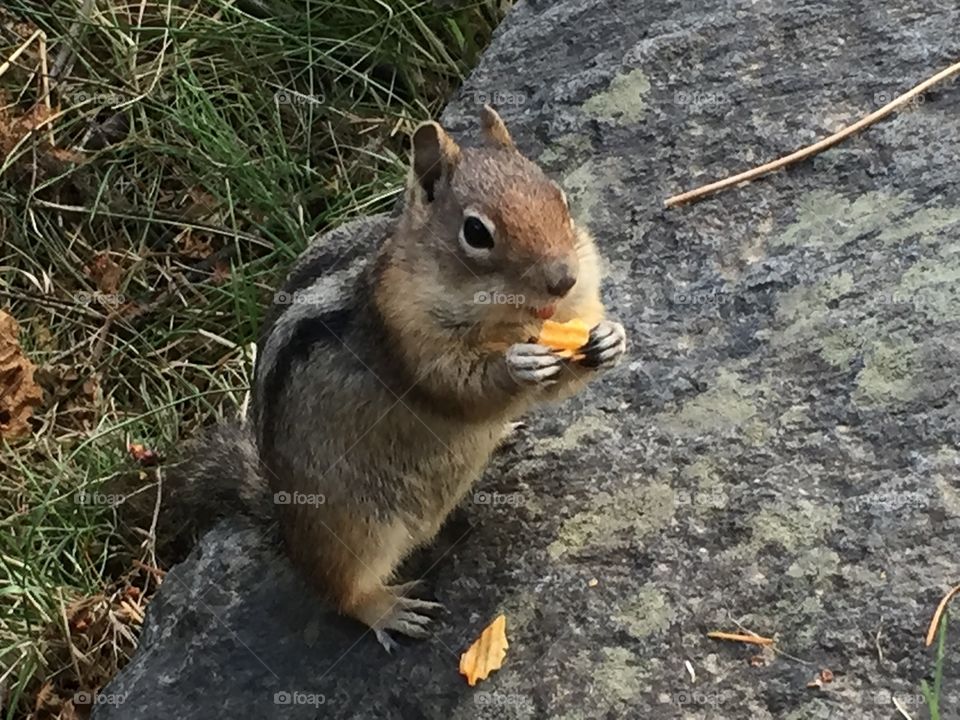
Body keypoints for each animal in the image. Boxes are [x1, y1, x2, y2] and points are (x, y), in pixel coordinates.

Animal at [164, 106, 627, 651]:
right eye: (476, 232)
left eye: (560, 198)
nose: (562, 279)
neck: (504, 319)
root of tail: (281, 514)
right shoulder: (405, 334)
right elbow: (454, 386)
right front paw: (518, 365)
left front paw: (609, 338)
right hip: (355, 528)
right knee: (338, 590)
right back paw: (390, 610)